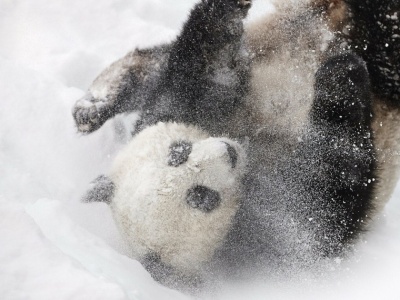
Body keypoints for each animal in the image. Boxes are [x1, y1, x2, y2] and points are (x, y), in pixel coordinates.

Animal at [75, 0, 400, 290]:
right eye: (200, 196)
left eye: (178, 152)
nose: (226, 152)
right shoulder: (273, 236)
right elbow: (333, 188)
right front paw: (341, 78)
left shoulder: (180, 107)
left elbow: (201, 73)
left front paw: (224, 15)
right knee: (385, 44)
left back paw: (95, 104)